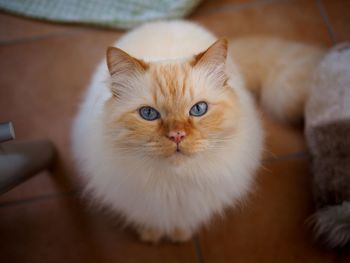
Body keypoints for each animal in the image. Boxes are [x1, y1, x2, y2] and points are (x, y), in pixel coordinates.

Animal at [72, 20, 326, 243]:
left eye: (198, 109)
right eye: (148, 114)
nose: (177, 136)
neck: (173, 186)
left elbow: (185, 222)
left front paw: (180, 236)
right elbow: (150, 220)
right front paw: (151, 236)